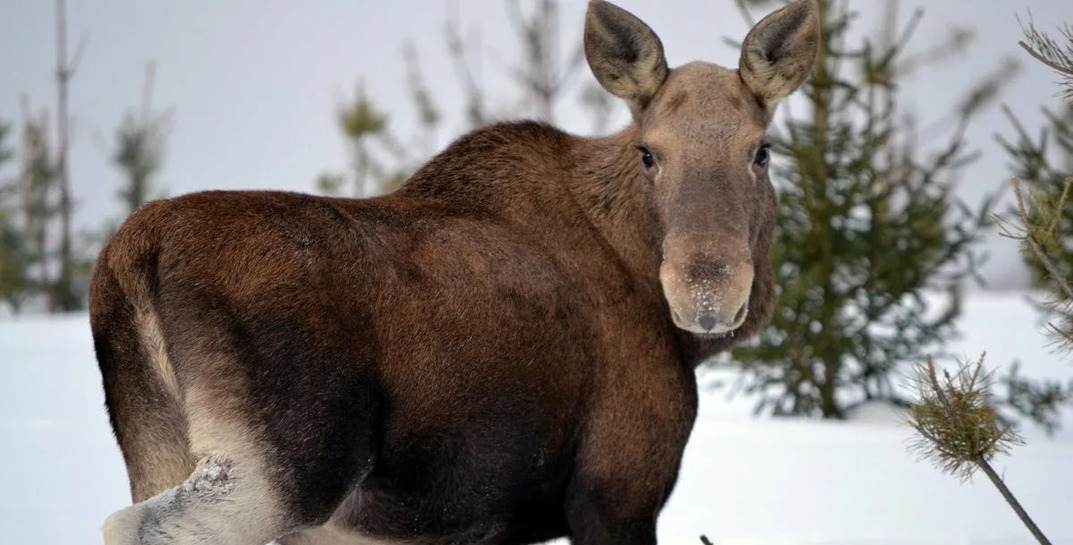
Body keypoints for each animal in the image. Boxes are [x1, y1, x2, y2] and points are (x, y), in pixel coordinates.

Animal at [92, 2, 815, 542]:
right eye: (648, 152)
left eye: (761, 150)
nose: (706, 293)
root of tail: (133, 255)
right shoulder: (618, 488)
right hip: (285, 471)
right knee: (133, 524)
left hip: (158, 446)